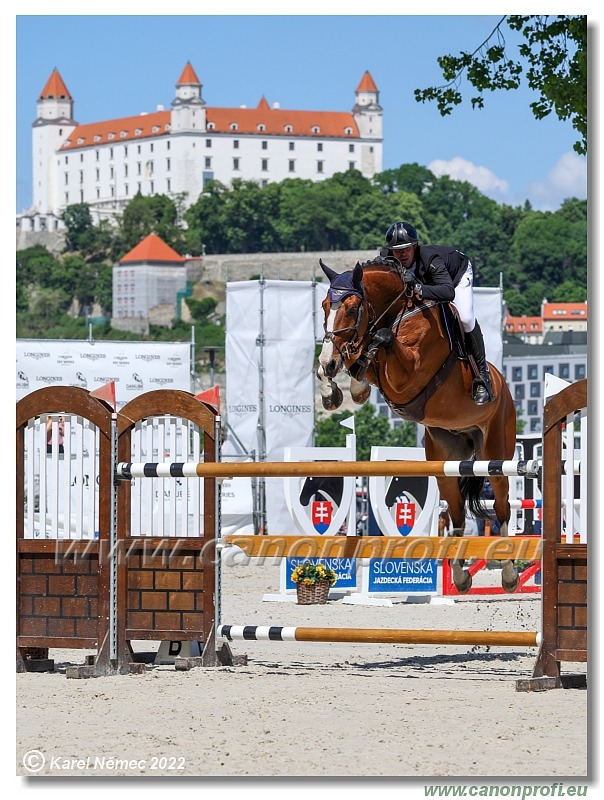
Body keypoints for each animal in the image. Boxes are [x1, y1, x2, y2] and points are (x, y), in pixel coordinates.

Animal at [316, 258, 520, 592]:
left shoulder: (409, 374)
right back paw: (461, 576)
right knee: (457, 513)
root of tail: (504, 387)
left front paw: (351, 382)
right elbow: (352, 364)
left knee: (502, 507)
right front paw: (335, 392)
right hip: (445, 461)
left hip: (496, 455)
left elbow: (381, 341)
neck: (398, 310)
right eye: (324, 306)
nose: (330, 359)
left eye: (352, 307)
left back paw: (509, 574)